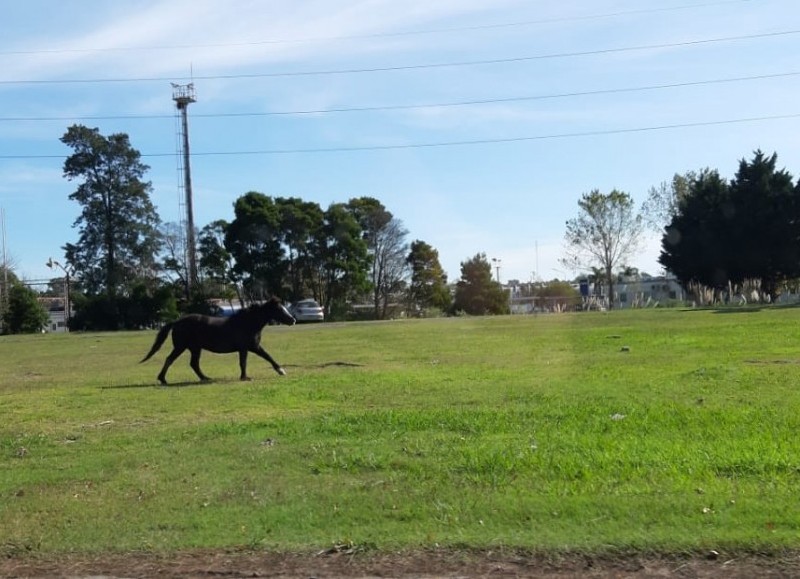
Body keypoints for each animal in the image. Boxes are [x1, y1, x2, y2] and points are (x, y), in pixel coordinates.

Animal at [142, 300, 296, 386]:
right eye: (279, 309)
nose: (293, 320)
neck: (247, 323)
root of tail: (177, 321)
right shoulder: (249, 347)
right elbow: (254, 360)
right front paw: (246, 377)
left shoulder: (250, 347)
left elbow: (260, 358)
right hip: (181, 347)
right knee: (170, 359)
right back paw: (162, 379)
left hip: (195, 348)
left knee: (194, 364)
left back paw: (205, 378)